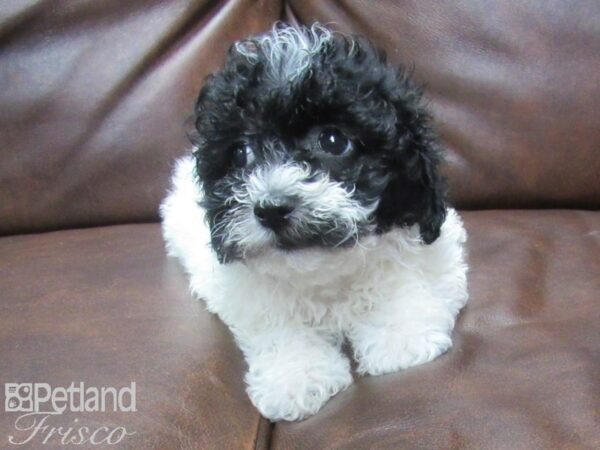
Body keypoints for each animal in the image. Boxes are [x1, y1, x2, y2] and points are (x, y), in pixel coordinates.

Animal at [161, 23, 468, 422]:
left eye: (333, 140)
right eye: (241, 153)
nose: (271, 208)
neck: (325, 274)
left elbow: (397, 282)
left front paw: (400, 338)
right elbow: (278, 327)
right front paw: (298, 377)